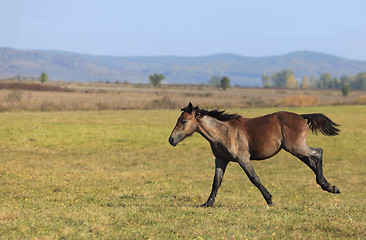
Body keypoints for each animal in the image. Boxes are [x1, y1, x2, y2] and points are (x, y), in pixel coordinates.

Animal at [169, 102, 340, 207]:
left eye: (183, 121)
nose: (171, 139)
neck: (223, 132)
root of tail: (301, 116)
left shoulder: (243, 159)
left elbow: (254, 178)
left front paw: (269, 200)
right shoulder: (221, 159)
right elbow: (216, 181)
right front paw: (207, 204)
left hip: (296, 148)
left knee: (318, 153)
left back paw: (328, 186)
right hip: (296, 150)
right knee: (312, 160)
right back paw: (328, 186)